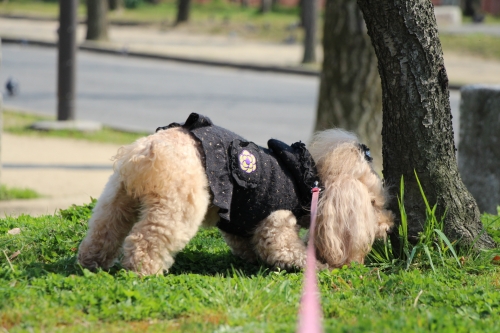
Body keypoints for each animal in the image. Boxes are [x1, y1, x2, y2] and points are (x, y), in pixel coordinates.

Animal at [78, 116, 392, 274]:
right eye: (374, 204)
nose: (391, 225)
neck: (311, 181)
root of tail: (146, 153)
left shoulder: (240, 222)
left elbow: (245, 243)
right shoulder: (277, 222)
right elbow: (287, 251)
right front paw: (317, 264)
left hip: (117, 197)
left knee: (103, 230)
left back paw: (90, 263)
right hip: (176, 206)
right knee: (145, 240)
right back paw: (143, 271)